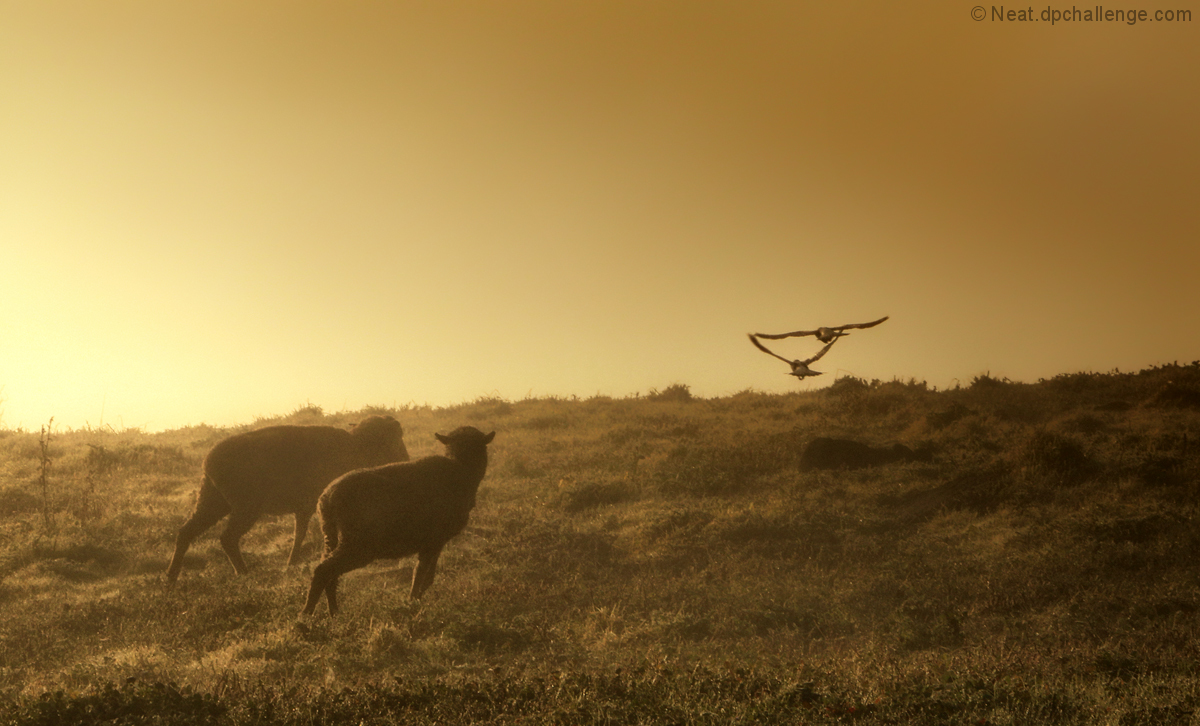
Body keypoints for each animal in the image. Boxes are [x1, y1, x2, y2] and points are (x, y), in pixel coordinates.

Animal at [166, 415, 409, 584]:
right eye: (396, 440)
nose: (406, 458)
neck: (357, 447)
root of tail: (209, 460)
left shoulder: (304, 509)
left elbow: (298, 535)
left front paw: (290, 564)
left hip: (213, 502)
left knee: (186, 532)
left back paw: (171, 576)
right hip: (245, 508)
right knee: (227, 538)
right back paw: (244, 572)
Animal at [300, 426, 496, 617]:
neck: (460, 469)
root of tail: (327, 498)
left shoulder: (433, 542)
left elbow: (426, 575)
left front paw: (415, 600)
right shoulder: (433, 540)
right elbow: (422, 573)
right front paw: (413, 601)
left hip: (331, 536)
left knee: (328, 572)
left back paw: (333, 613)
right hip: (357, 544)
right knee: (324, 570)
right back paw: (307, 614)